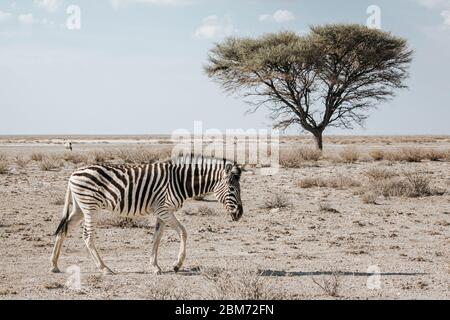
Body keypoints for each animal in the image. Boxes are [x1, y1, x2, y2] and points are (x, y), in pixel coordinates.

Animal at [50, 155, 243, 276]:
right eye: (232, 188)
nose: (240, 214)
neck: (180, 181)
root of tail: (73, 173)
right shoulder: (165, 210)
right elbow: (183, 232)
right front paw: (177, 264)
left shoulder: (162, 212)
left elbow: (157, 237)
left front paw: (155, 266)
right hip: (91, 207)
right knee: (87, 236)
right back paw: (104, 268)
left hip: (79, 208)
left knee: (63, 231)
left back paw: (54, 265)